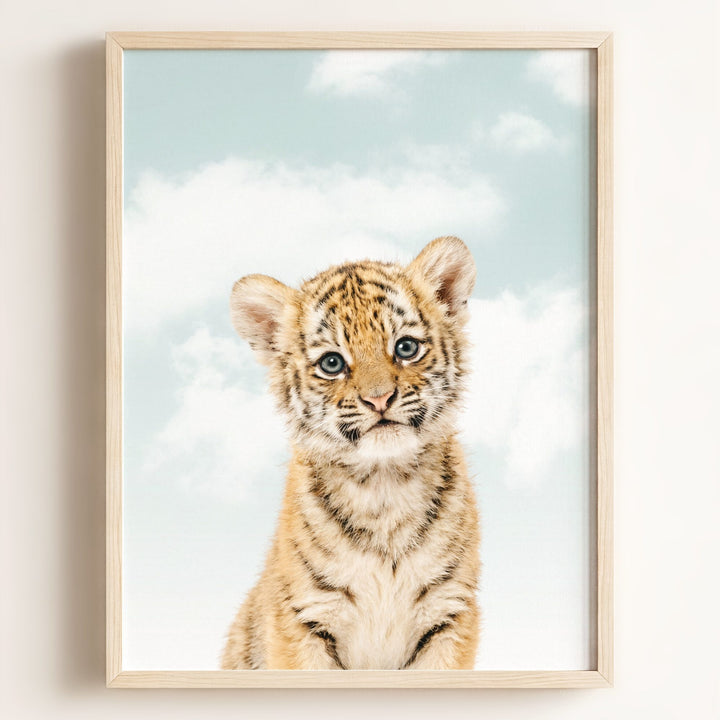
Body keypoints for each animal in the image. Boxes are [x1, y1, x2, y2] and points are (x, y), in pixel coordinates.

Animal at [221, 236, 480, 670]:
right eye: (332, 363)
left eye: (405, 347)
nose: (379, 399)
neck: (384, 485)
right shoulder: (303, 618)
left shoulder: (450, 612)